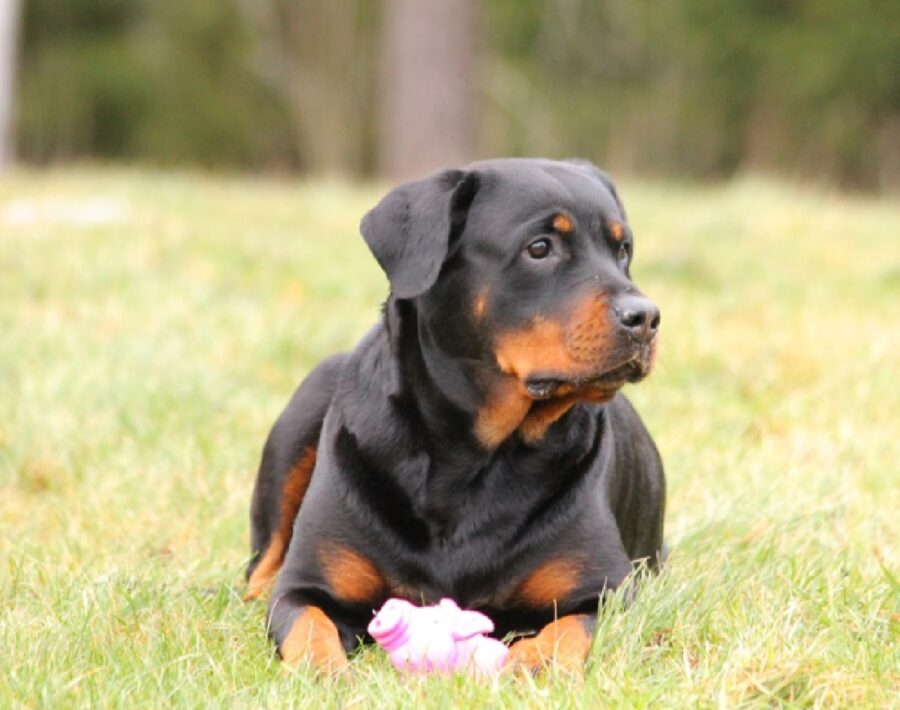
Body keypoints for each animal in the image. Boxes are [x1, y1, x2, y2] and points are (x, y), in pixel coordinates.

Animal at [243, 159, 664, 676]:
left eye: (622, 250)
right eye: (539, 248)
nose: (645, 317)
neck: (471, 454)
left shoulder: (607, 592)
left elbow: (567, 631)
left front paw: (530, 663)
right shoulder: (306, 587)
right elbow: (309, 626)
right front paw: (325, 672)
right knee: (261, 567)